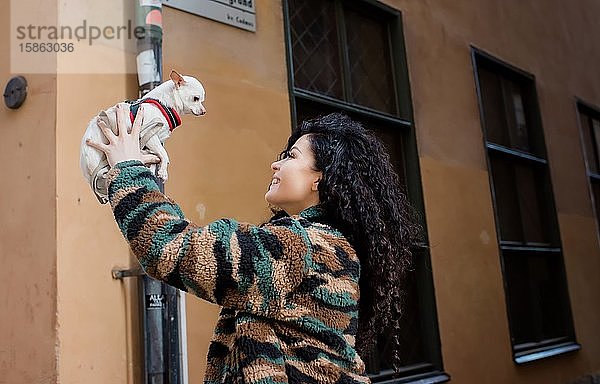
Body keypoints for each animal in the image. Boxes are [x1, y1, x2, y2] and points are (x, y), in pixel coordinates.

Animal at [79, 71, 206, 206]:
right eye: (196, 98)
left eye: (202, 100)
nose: (204, 111)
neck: (166, 106)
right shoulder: (150, 134)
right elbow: (164, 154)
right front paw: (163, 171)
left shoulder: (156, 141)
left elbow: (158, 159)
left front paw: (156, 169)